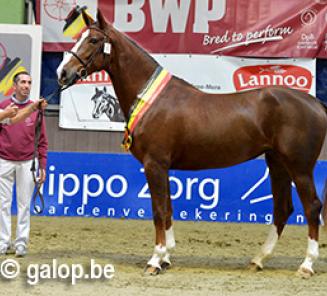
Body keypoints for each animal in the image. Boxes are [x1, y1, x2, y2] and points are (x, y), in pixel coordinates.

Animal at [57, 9, 327, 278]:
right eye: (79, 38)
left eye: (93, 40)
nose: (62, 73)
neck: (152, 100)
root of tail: (316, 104)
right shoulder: (162, 166)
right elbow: (168, 210)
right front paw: (166, 257)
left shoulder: (154, 164)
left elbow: (158, 211)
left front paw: (154, 260)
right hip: (277, 163)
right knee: (283, 208)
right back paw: (259, 259)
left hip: (300, 168)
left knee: (312, 207)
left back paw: (306, 265)